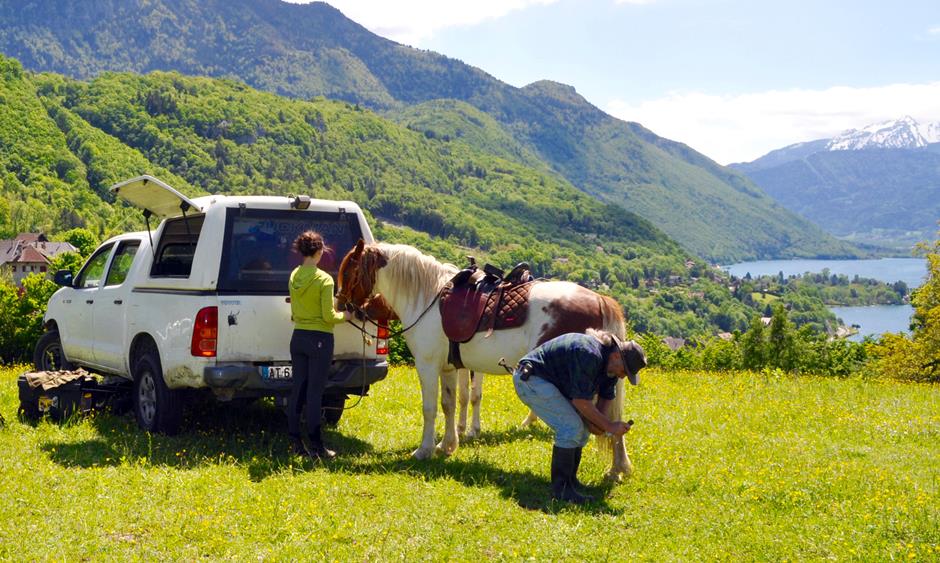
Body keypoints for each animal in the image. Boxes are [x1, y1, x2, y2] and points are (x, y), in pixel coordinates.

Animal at [336, 240, 632, 482]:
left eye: (349, 271)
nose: (341, 305)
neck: (427, 298)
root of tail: (600, 300)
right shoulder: (448, 368)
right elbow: (449, 405)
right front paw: (447, 445)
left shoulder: (427, 365)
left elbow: (430, 408)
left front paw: (424, 450)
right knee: (614, 418)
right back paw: (617, 469)